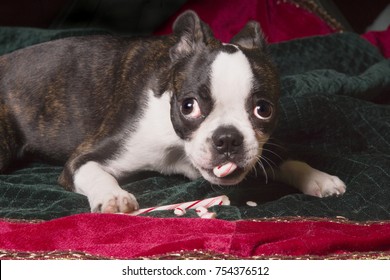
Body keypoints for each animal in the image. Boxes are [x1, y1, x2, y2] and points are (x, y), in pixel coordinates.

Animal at [0, 10, 348, 212]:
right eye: (188, 106)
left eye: (263, 109)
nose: (227, 139)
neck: (178, 147)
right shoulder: (82, 159)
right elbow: (94, 171)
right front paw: (114, 197)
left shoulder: (259, 151)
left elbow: (282, 156)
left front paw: (318, 177)